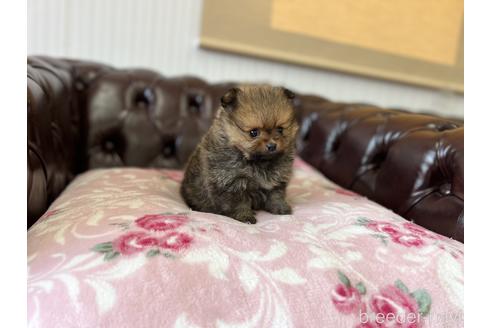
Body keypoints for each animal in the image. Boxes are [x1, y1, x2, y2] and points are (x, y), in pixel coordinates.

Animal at [179, 84, 298, 224]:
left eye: (280, 129)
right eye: (253, 133)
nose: (272, 145)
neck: (258, 162)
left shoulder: (277, 180)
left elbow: (276, 195)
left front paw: (281, 208)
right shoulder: (231, 182)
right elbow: (238, 203)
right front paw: (245, 217)